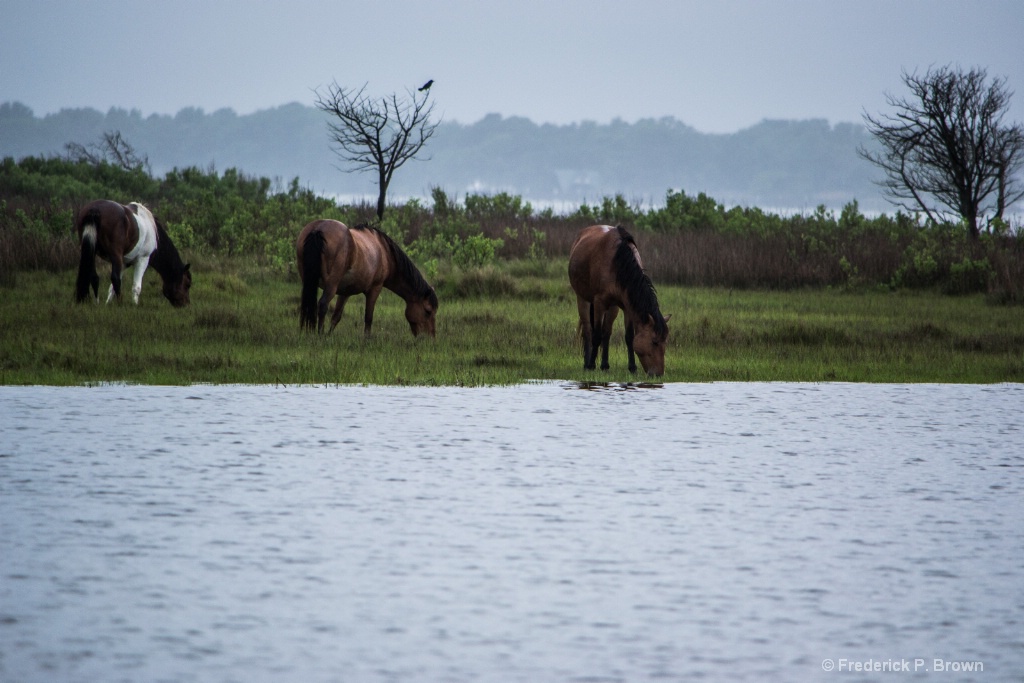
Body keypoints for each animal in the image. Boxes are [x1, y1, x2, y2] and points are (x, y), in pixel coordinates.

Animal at [299, 219, 438, 335]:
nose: (429, 338)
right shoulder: (375, 288)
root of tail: (318, 229)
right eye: (428, 311)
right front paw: (366, 341)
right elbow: (368, 317)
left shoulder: (345, 292)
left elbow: (336, 316)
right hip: (331, 286)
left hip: (308, 282)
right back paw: (319, 335)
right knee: (323, 305)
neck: (385, 253)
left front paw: (329, 335)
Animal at [569, 224, 671, 376]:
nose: (658, 373)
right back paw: (587, 363)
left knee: (606, 332)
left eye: (665, 342)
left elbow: (629, 337)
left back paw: (604, 365)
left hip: (613, 307)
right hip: (582, 299)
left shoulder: (627, 306)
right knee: (587, 330)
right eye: (654, 342)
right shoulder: (599, 303)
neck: (618, 264)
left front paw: (632, 367)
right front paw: (592, 365)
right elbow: (596, 335)